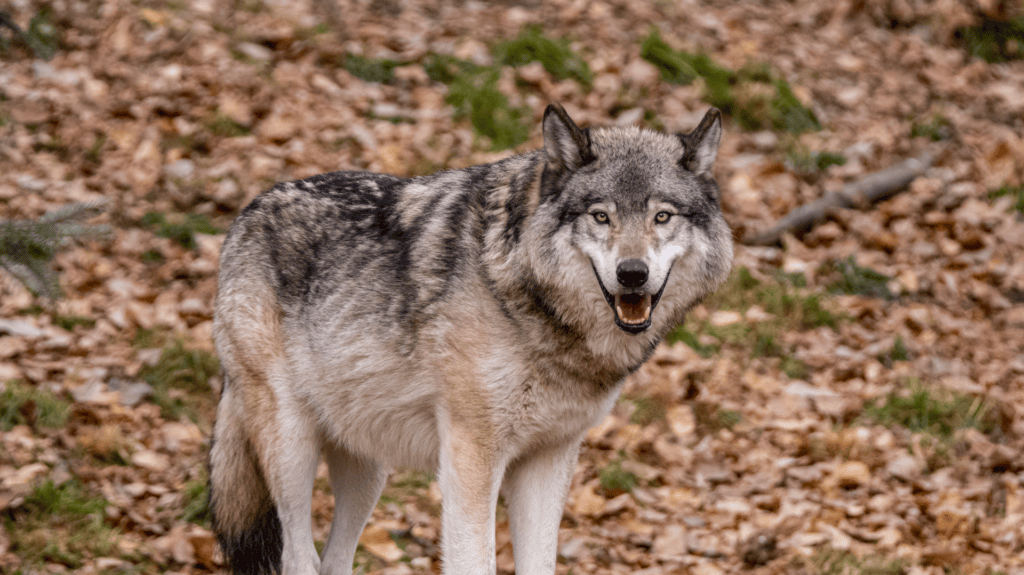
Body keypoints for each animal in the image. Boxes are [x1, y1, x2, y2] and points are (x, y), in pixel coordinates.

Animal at [209, 103, 733, 575]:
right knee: (299, 558)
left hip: (368, 469)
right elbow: (474, 560)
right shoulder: (471, 456)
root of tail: (246, 214)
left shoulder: (549, 459)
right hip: (292, 448)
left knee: (334, 562)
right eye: (601, 216)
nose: (632, 274)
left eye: (662, 217)